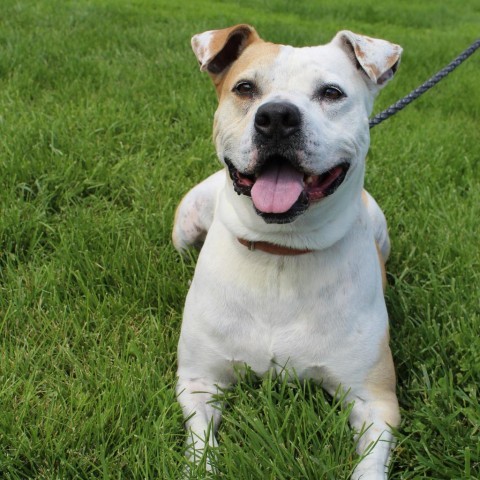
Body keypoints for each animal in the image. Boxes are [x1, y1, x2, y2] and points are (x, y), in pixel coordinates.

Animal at [172, 24, 402, 478]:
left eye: (331, 92)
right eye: (245, 88)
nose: (277, 116)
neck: (280, 252)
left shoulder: (375, 400)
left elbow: (370, 463)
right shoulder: (199, 381)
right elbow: (201, 444)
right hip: (184, 227)